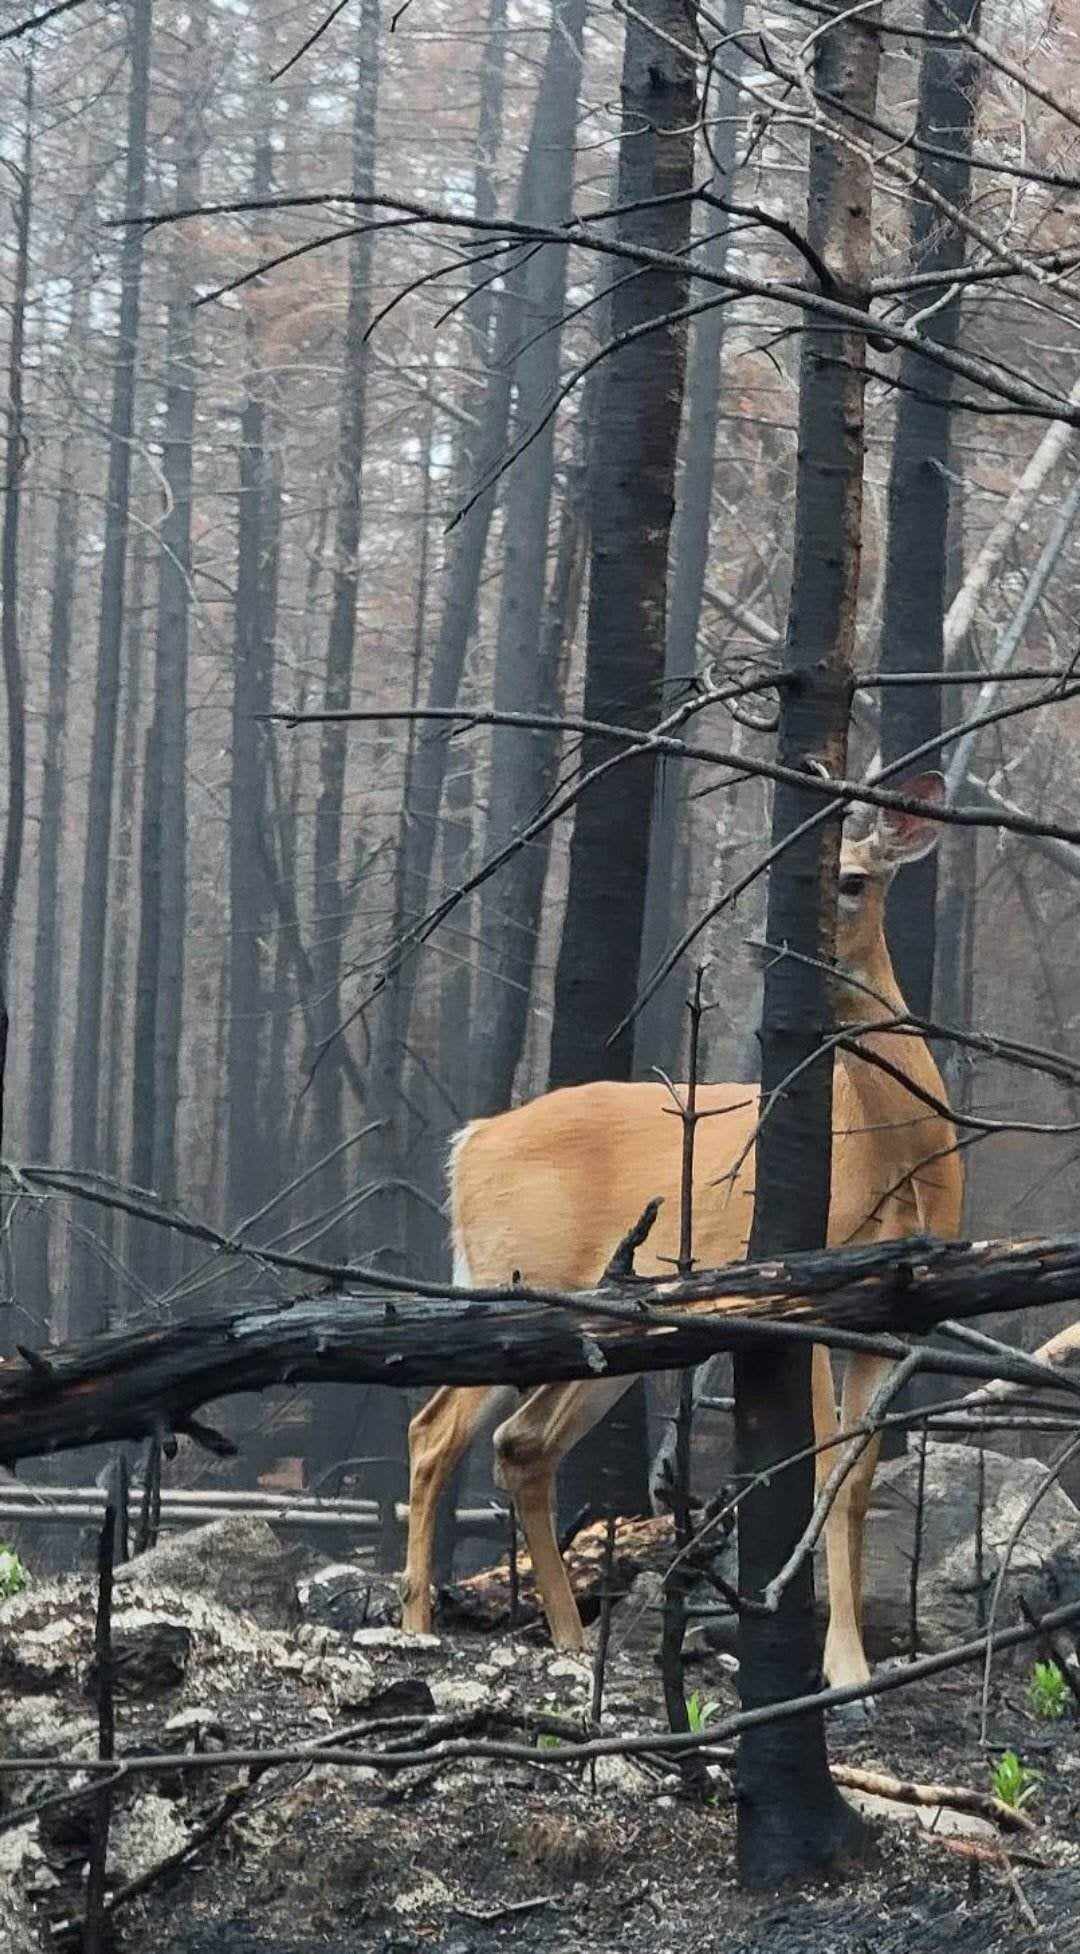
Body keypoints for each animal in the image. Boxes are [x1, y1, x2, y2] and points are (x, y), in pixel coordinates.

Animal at [402, 773, 962, 1691]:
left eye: (854, 880)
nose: (784, 961)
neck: (890, 1156)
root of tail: (469, 1141)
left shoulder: (897, 1320)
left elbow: (855, 1479)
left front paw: (855, 1667)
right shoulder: (807, 1290)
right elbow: (816, 1471)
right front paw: (831, 1665)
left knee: (521, 1443)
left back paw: (567, 1640)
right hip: (517, 1273)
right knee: (435, 1429)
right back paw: (415, 1623)